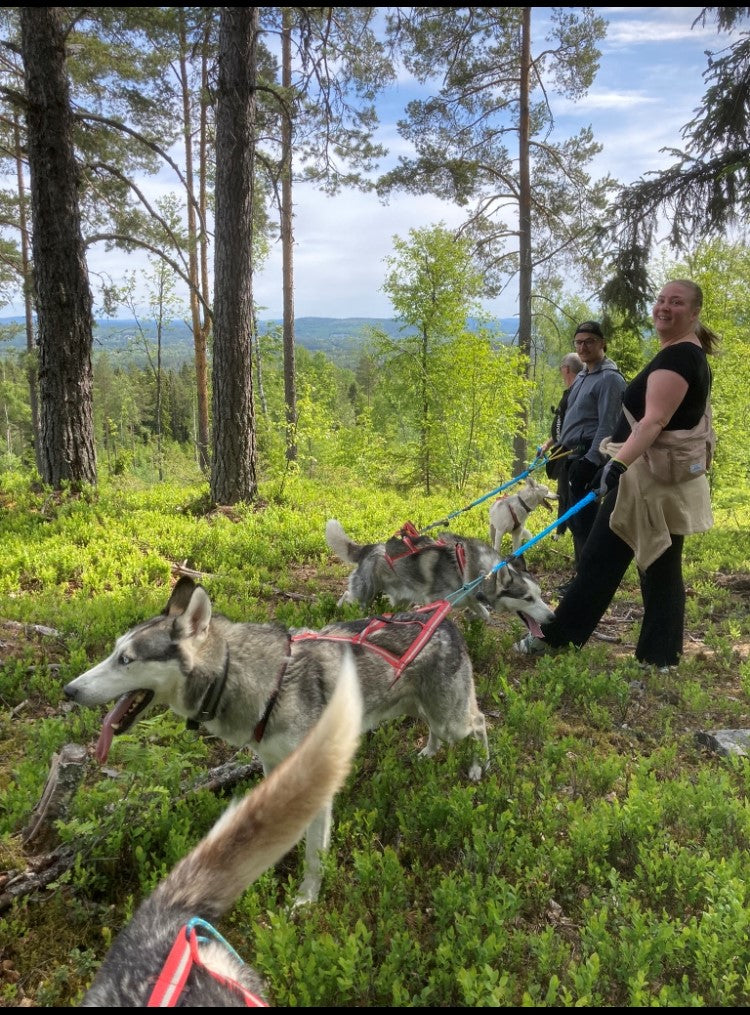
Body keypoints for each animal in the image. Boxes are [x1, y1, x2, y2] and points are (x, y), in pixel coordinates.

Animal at [63, 580, 487, 905]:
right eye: (113, 651)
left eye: (127, 659)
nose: (69, 690)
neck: (248, 677)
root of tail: (445, 619)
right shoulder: (273, 766)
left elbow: (314, 855)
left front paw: (306, 900)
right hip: (421, 708)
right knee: (436, 729)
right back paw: (428, 752)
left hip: (452, 719)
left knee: (481, 723)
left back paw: (479, 766)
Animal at [324, 519, 556, 629]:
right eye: (528, 598)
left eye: (540, 595)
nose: (553, 617)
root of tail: (368, 548)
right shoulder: (436, 602)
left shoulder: (467, 597)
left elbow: (483, 612)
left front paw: (473, 615)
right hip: (363, 595)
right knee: (348, 596)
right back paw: (339, 610)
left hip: (401, 599)